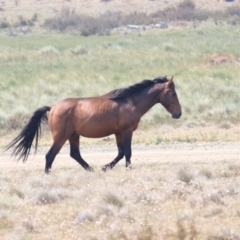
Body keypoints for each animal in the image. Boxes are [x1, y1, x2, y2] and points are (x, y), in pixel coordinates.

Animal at [5, 76, 182, 173]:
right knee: (50, 155)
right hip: (61, 137)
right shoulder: (127, 131)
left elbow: (120, 153)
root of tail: (52, 107)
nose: (178, 113)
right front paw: (127, 169)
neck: (130, 101)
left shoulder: (118, 133)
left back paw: (91, 170)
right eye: (173, 93)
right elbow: (128, 152)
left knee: (75, 154)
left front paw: (105, 167)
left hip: (73, 136)